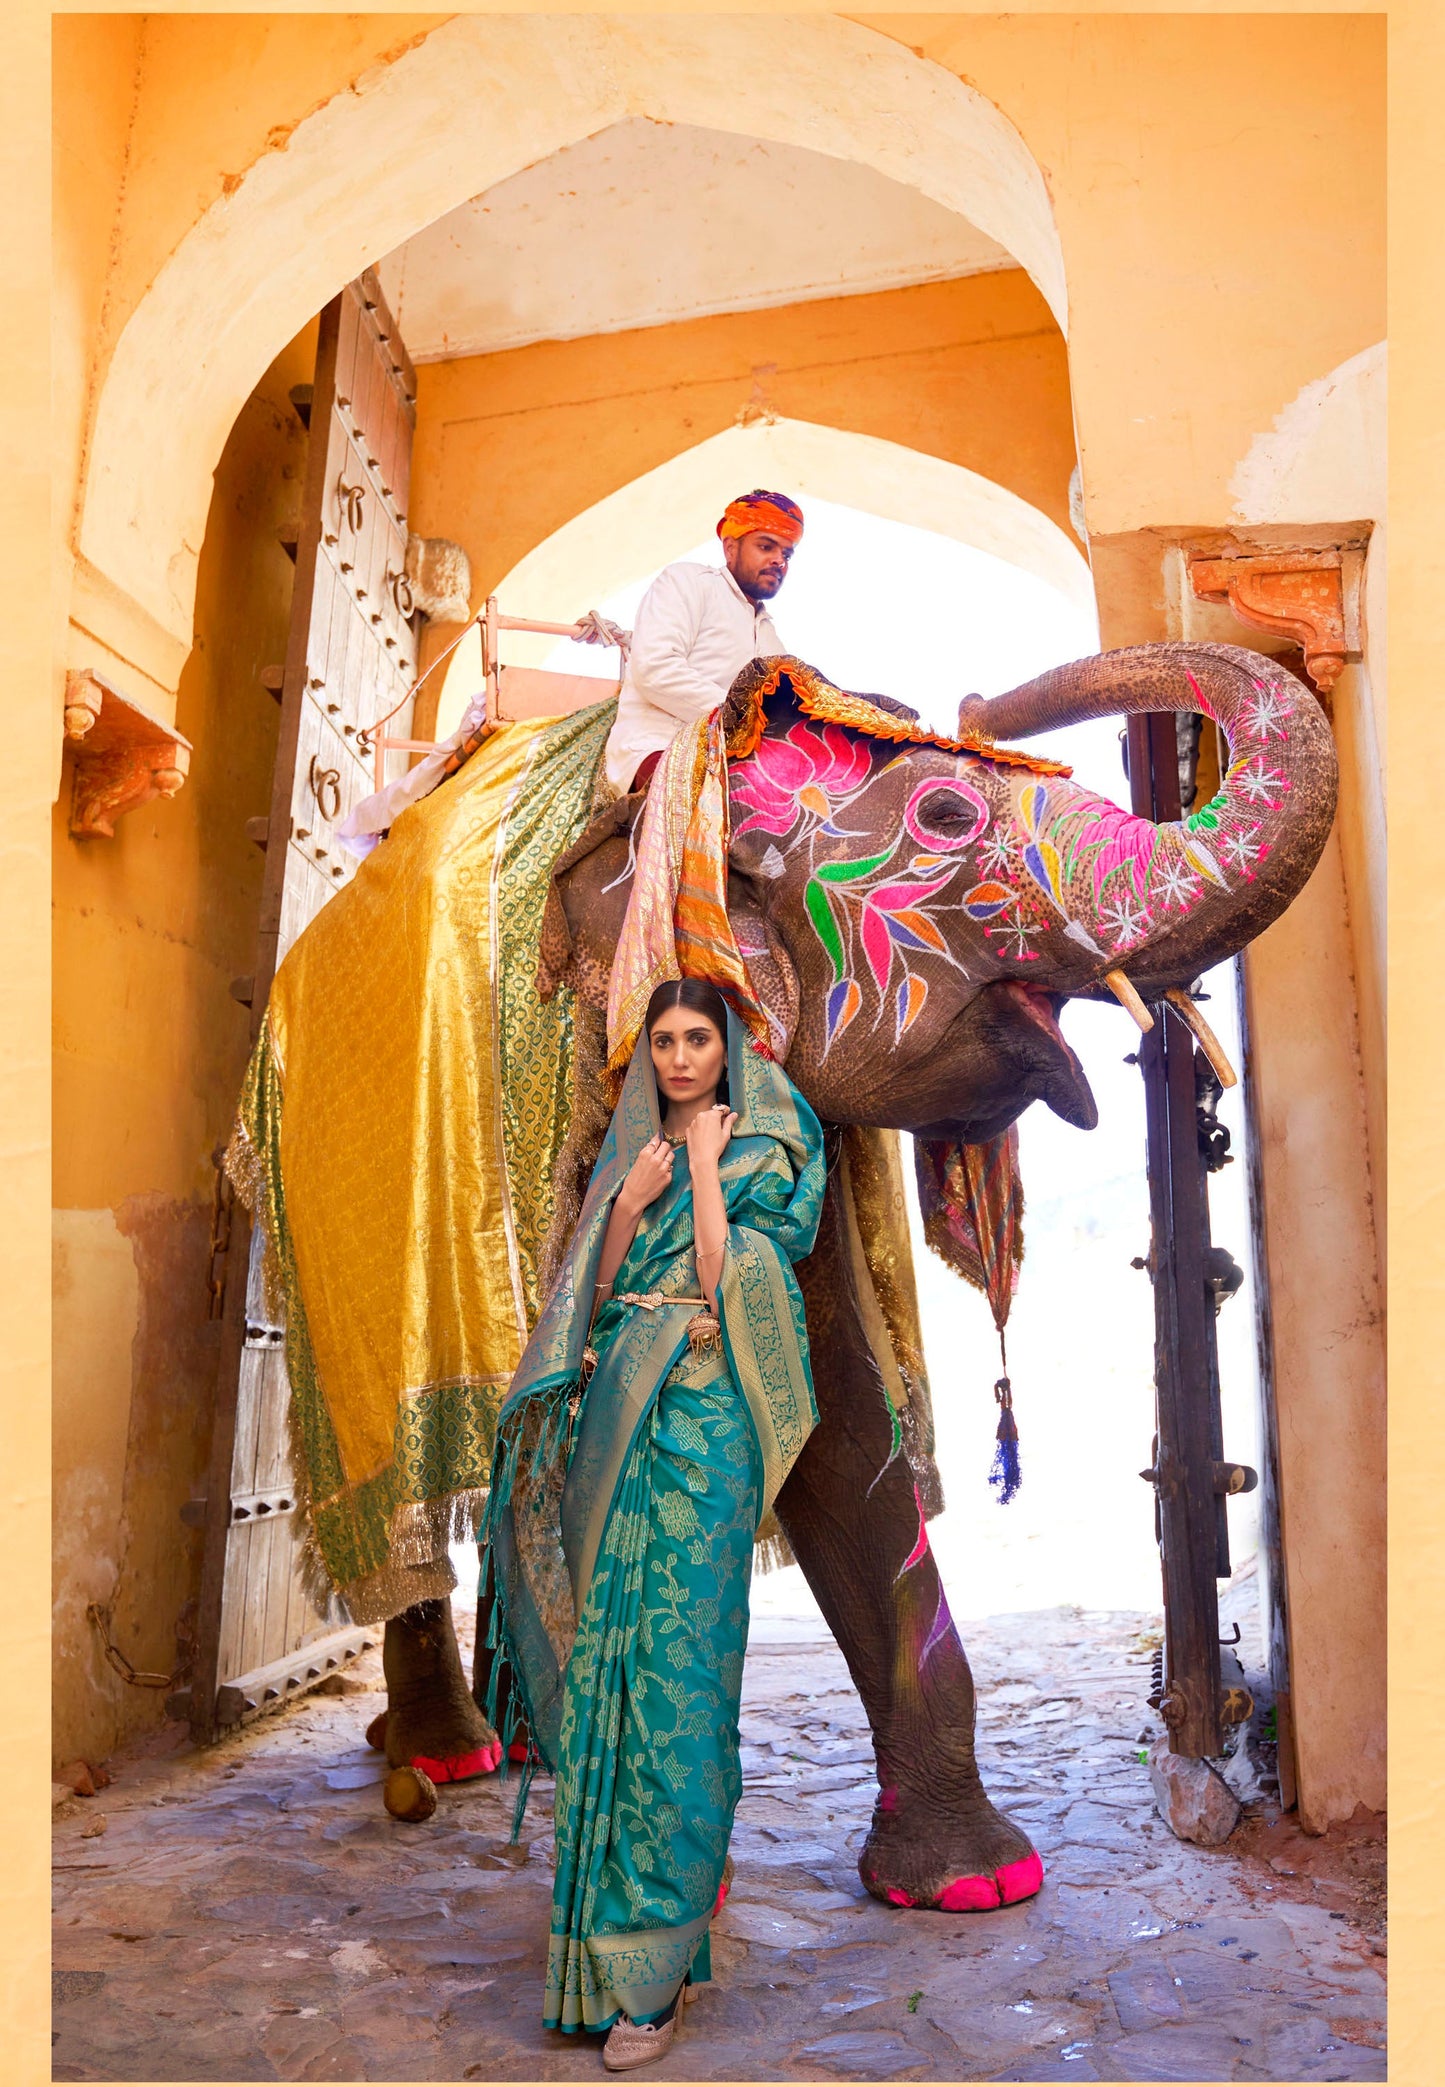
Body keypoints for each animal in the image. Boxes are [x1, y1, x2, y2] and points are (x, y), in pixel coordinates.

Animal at [371, 642, 1328, 1911]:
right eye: (946, 814)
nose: (981, 703)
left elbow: (832, 1419)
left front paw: (973, 1882)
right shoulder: (589, 1085)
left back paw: (510, 1740)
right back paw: (451, 1753)